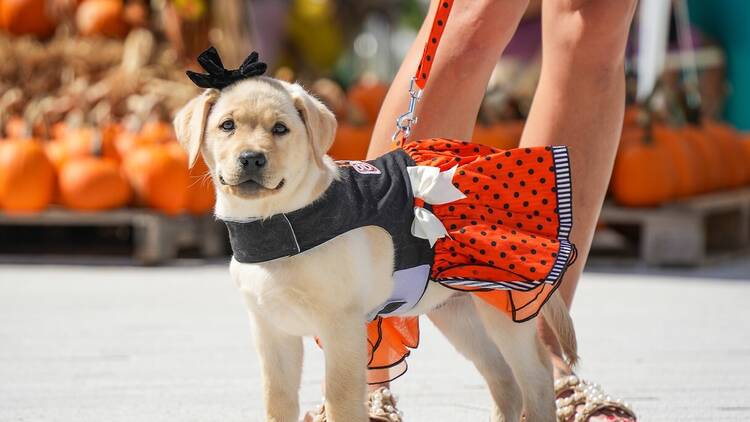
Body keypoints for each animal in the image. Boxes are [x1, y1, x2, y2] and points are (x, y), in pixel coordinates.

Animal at [173, 76, 580, 422]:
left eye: (280, 129)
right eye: (227, 125)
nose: (252, 158)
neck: (278, 221)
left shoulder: (341, 327)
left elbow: (340, 401)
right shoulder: (272, 331)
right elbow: (278, 402)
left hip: (502, 308)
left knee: (536, 376)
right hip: (457, 314)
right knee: (504, 380)